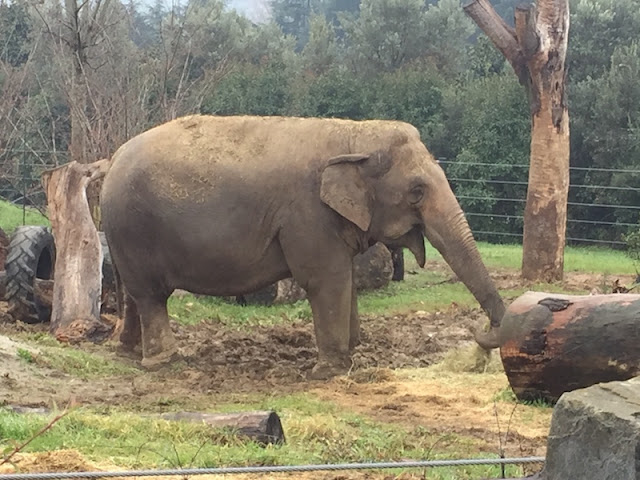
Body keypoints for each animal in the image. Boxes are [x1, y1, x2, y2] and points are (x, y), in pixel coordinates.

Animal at [101, 115, 504, 378]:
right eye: (417, 191)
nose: (482, 338)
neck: (353, 135)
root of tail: (113, 157)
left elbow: (346, 279)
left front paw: (353, 351)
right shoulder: (308, 216)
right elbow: (325, 279)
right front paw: (330, 372)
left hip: (124, 235)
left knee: (134, 294)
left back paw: (127, 351)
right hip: (134, 227)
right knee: (151, 295)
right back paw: (164, 362)